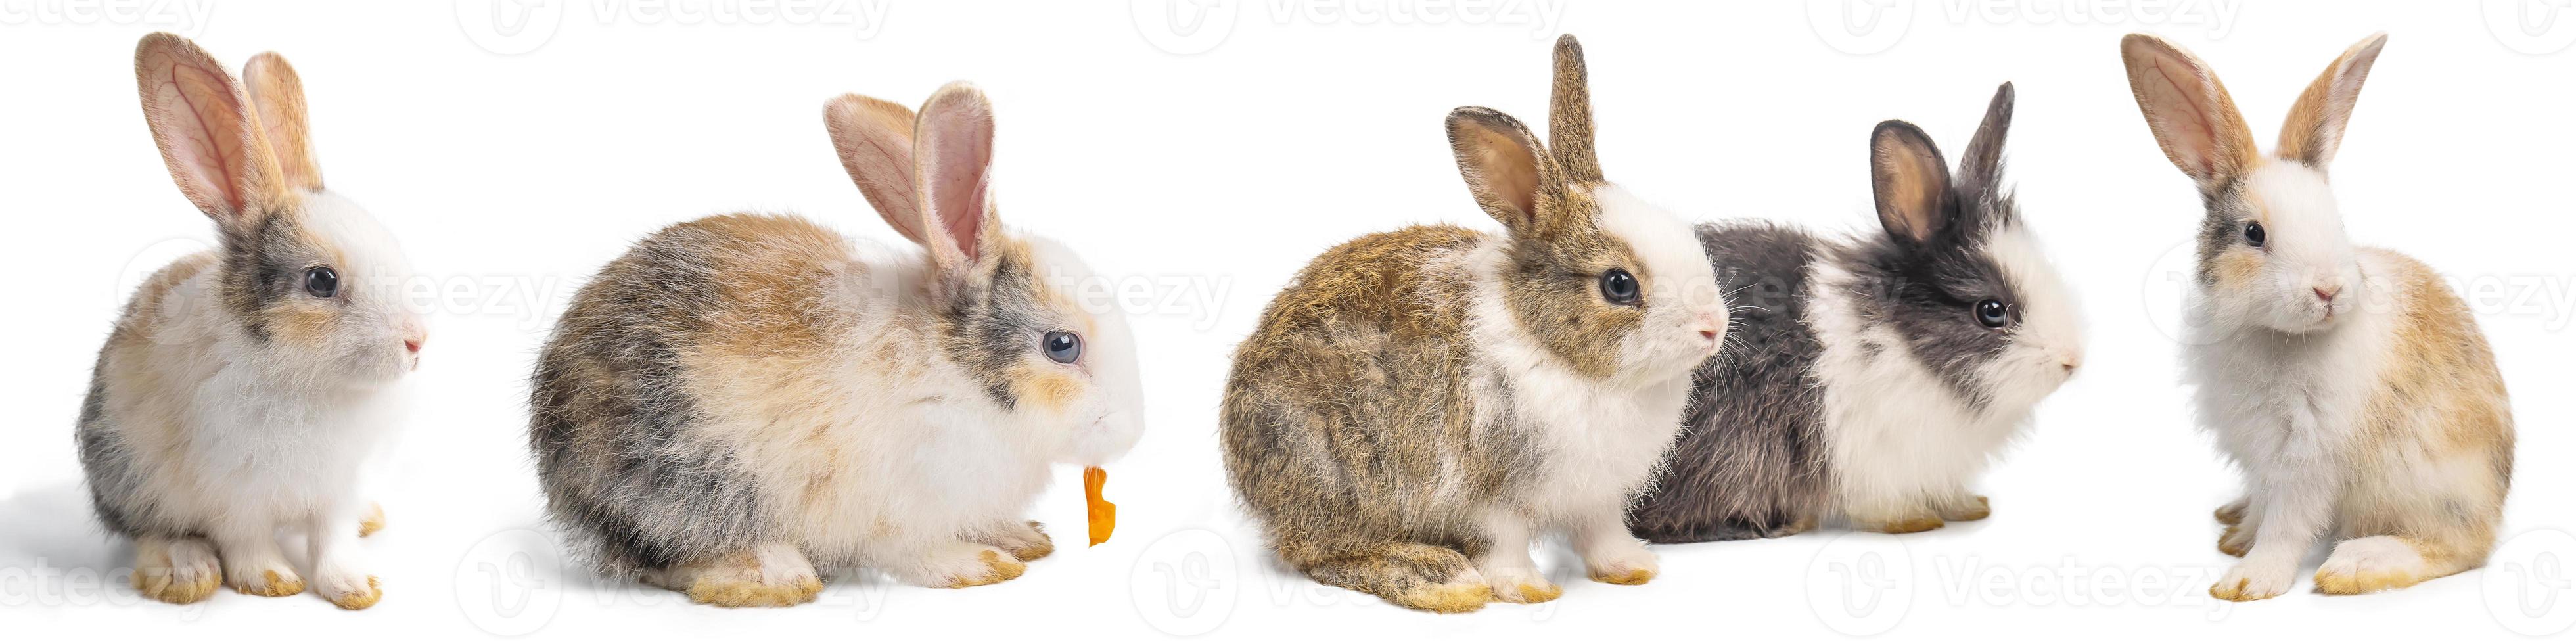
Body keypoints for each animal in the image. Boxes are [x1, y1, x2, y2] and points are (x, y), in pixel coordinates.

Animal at [76, 34, 422, 608]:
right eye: (321, 281)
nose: (417, 341)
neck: (305, 381)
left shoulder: (337, 486)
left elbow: (333, 539)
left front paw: (355, 588)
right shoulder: (235, 492)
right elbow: (248, 539)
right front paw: (273, 581)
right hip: (128, 473)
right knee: (149, 530)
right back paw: (186, 571)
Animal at [528, 83, 1143, 605]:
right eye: (1061, 345)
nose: (1133, 432)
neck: (954, 371)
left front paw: (1021, 538)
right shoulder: (896, 506)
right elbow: (914, 551)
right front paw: (979, 566)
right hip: (683, 482)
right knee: (667, 557)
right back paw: (773, 574)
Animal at [1628, 83, 2092, 541]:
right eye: (1992, 311)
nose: (2072, 361)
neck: (1901, 345)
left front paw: (1969, 507)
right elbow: (1881, 503)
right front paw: (1914, 521)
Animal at [2123, 32, 2504, 600]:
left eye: (2336, 221)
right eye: (2254, 233)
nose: (2329, 289)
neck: (2280, 334)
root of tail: (2497, 500)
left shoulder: (2308, 457)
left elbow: (2287, 523)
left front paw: (2248, 580)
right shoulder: (2261, 452)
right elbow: (2265, 505)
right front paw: (2239, 538)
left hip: (2429, 486)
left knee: (2460, 547)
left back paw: (2358, 565)